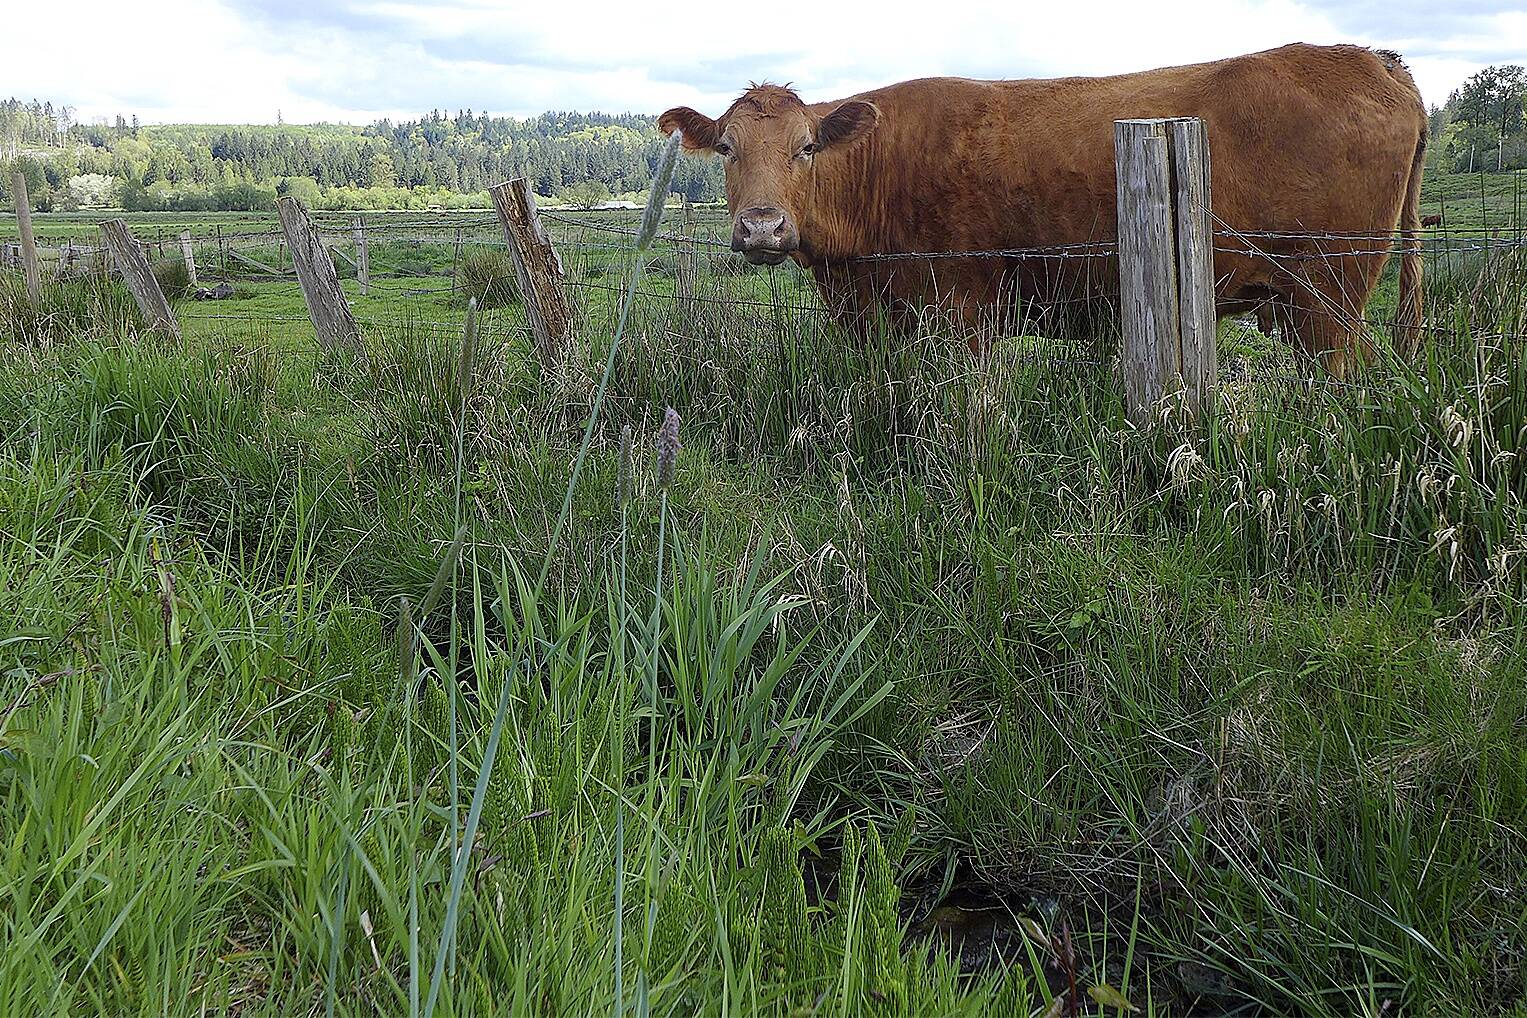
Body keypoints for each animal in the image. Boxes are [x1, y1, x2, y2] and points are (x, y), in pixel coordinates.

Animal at [662, 43, 1423, 376]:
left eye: (807, 147)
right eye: (725, 147)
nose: (762, 224)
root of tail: (1371, 57)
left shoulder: (961, 312)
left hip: (1327, 297)